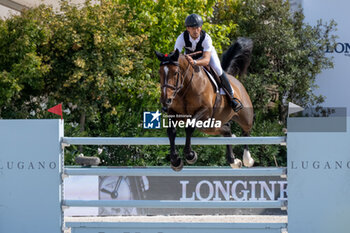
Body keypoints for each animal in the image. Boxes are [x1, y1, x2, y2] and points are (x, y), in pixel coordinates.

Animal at [156, 36, 254, 171]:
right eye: (160, 73)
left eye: (175, 73)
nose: (166, 100)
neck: (184, 89)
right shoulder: (173, 112)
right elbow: (171, 132)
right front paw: (175, 161)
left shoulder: (204, 111)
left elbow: (189, 127)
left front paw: (190, 155)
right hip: (210, 126)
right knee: (227, 130)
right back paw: (233, 161)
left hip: (244, 117)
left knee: (246, 132)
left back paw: (247, 159)